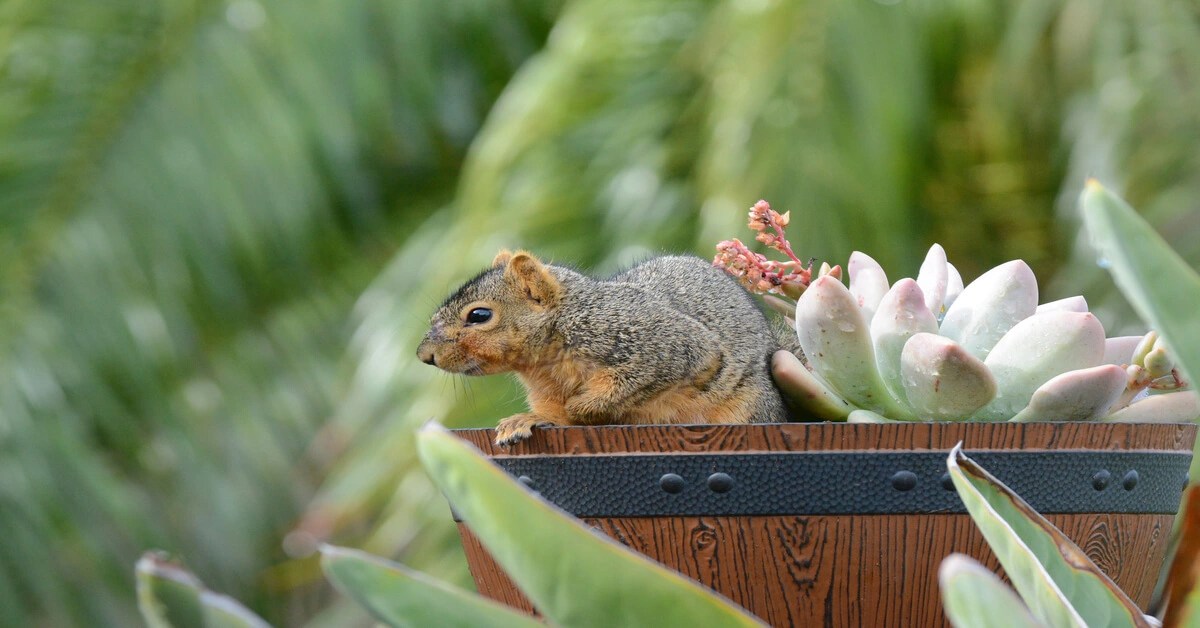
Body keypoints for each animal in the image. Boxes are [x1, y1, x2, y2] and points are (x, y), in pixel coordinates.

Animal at [417, 250, 791, 445]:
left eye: (479, 315)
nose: (425, 356)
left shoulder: (662, 344)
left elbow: (636, 380)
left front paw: (583, 408)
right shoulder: (546, 388)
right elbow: (552, 412)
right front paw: (528, 419)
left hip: (748, 409)